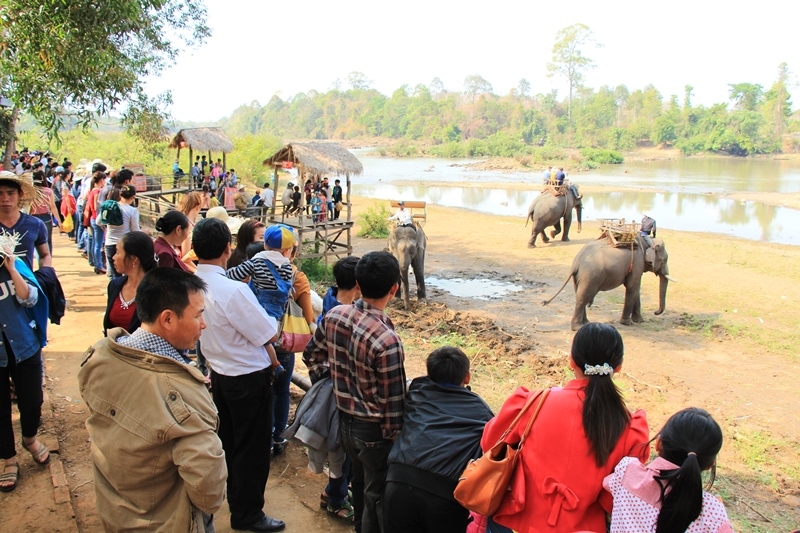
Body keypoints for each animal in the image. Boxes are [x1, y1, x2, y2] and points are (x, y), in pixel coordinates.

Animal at [544, 235, 676, 330]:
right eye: (663, 260)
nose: (656, 312)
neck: (648, 240)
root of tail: (577, 262)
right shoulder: (637, 262)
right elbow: (633, 286)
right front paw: (627, 323)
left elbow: (636, 289)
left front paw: (639, 321)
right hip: (590, 276)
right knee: (583, 297)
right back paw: (577, 328)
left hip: (579, 276)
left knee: (580, 295)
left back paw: (586, 323)